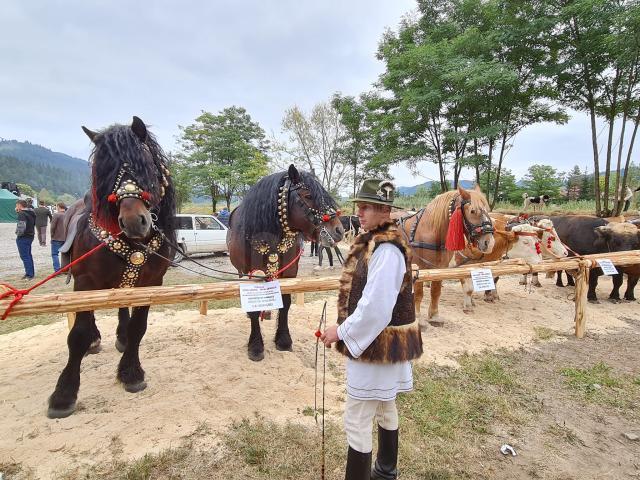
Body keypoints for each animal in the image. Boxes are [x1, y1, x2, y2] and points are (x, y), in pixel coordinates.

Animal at [45, 117, 176, 420]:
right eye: (105, 169)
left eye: (145, 163)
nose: (134, 221)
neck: (132, 242)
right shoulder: (85, 283)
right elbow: (77, 335)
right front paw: (63, 395)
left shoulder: (152, 283)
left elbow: (139, 328)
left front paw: (131, 373)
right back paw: (95, 340)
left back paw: (121, 337)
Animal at [228, 164, 342, 360]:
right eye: (308, 196)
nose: (339, 231)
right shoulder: (251, 273)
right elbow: (254, 307)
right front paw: (256, 345)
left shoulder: (289, 272)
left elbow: (286, 302)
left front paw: (283, 340)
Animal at [400, 186, 496, 328]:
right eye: (473, 211)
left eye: (488, 210)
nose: (489, 243)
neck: (430, 230)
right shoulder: (419, 268)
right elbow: (418, 293)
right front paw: (418, 318)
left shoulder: (440, 267)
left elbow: (436, 291)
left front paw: (434, 316)